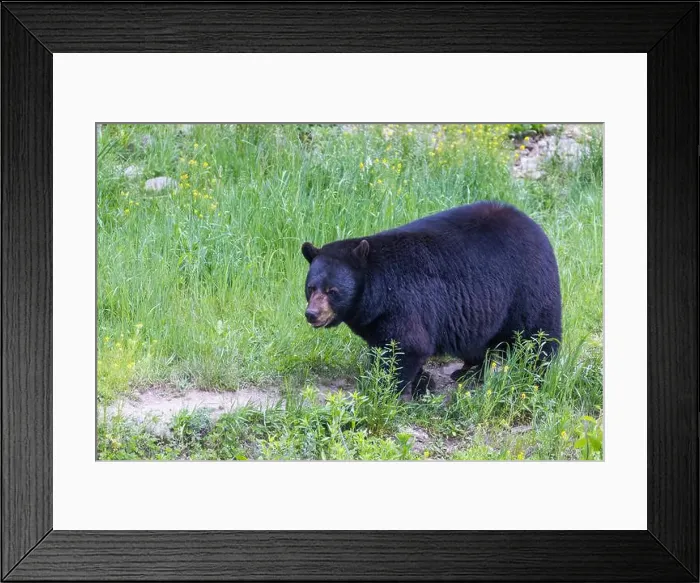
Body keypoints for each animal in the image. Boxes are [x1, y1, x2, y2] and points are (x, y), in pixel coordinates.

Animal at [301, 201, 561, 400]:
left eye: (332, 290)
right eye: (311, 288)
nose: (312, 314)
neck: (375, 293)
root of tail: (533, 225)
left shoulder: (405, 302)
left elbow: (408, 345)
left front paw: (390, 392)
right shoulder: (376, 319)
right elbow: (386, 345)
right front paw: (422, 383)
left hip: (527, 287)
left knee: (539, 336)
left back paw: (535, 375)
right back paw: (469, 371)